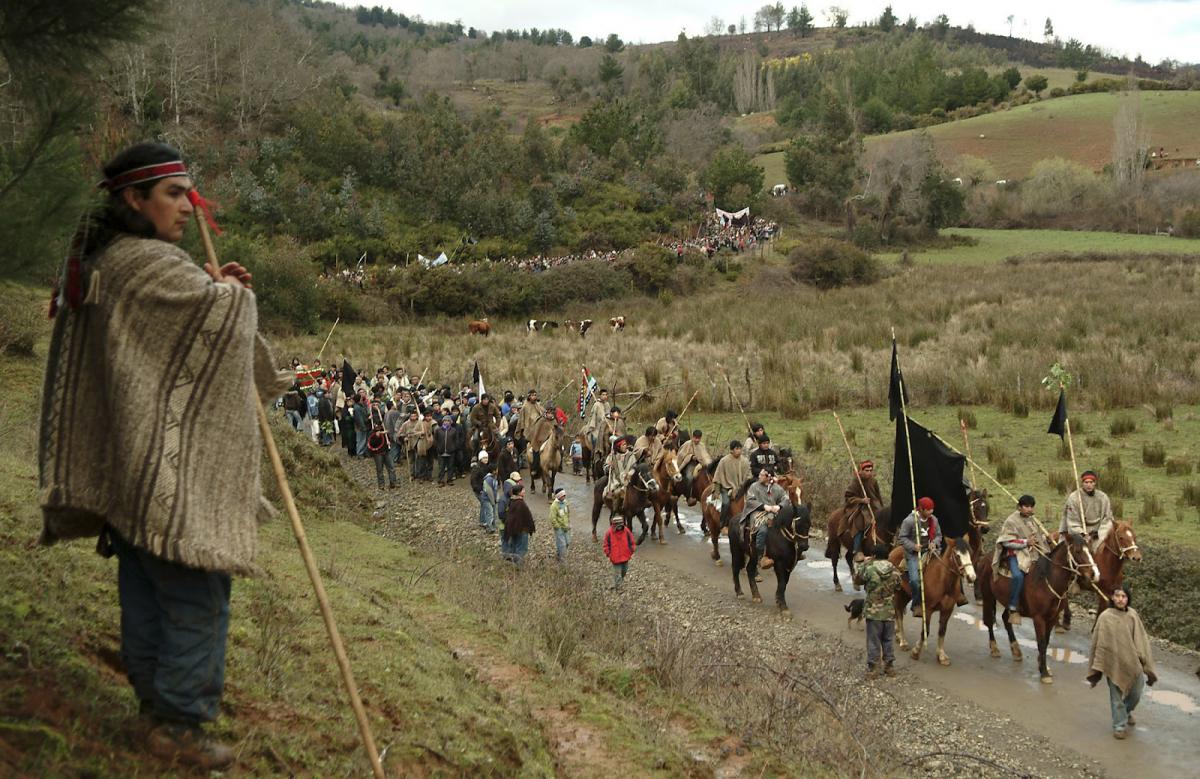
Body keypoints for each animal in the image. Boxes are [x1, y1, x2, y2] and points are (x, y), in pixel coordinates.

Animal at [892, 537, 974, 667]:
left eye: (970, 553)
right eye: (957, 555)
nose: (972, 577)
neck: (943, 581)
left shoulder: (947, 610)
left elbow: (942, 631)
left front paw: (941, 655)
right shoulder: (928, 609)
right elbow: (925, 630)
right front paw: (916, 651)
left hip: (906, 594)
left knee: (899, 610)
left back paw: (898, 635)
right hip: (897, 592)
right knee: (899, 613)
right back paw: (903, 642)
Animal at [974, 530, 1099, 681]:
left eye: (1090, 550)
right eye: (1077, 551)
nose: (1094, 574)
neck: (1046, 580)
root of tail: (985, 558)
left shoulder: (1052, 618)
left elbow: (1046, 641)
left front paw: (1043, 666)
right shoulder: (1038, 618)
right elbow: (1041, 642)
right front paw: (1044, 672)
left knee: (1005, 619)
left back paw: (1016, 651)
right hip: (988, 597)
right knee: (989, 621)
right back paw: (994, 648)